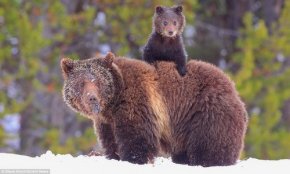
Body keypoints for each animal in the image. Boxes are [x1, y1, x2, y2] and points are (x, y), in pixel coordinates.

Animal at [60, 52, 247, 167]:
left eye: (98, 81)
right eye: (81, 83)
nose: (91, 98)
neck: (112, 103)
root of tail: (233, 88)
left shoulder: (137, 102)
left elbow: (136, 138)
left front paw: (133, 159)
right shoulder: (106, 121)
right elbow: (110, 141)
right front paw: (113, 156)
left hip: (206, 112)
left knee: (210, 145)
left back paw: (209, 162)